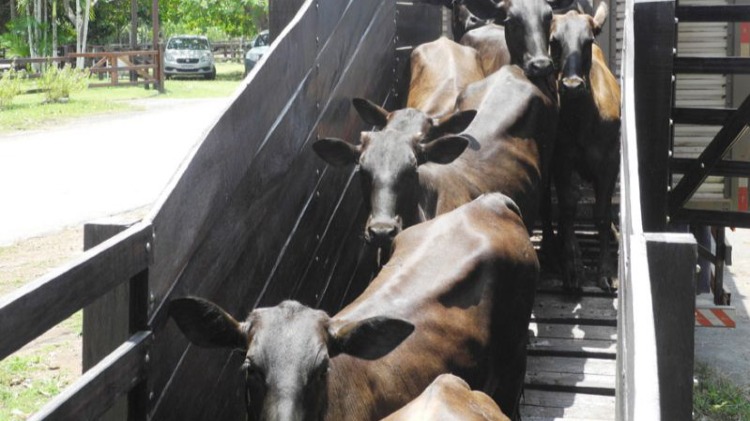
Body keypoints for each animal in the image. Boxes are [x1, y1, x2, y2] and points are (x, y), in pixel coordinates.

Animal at [540, 1, 624, 290]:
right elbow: (567, 207)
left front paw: (606, 271)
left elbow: (602, 214)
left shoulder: (610, 162)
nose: (572, 85)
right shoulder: (562, 161)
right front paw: (572, 267)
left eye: (588, 41)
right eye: (554, 41)